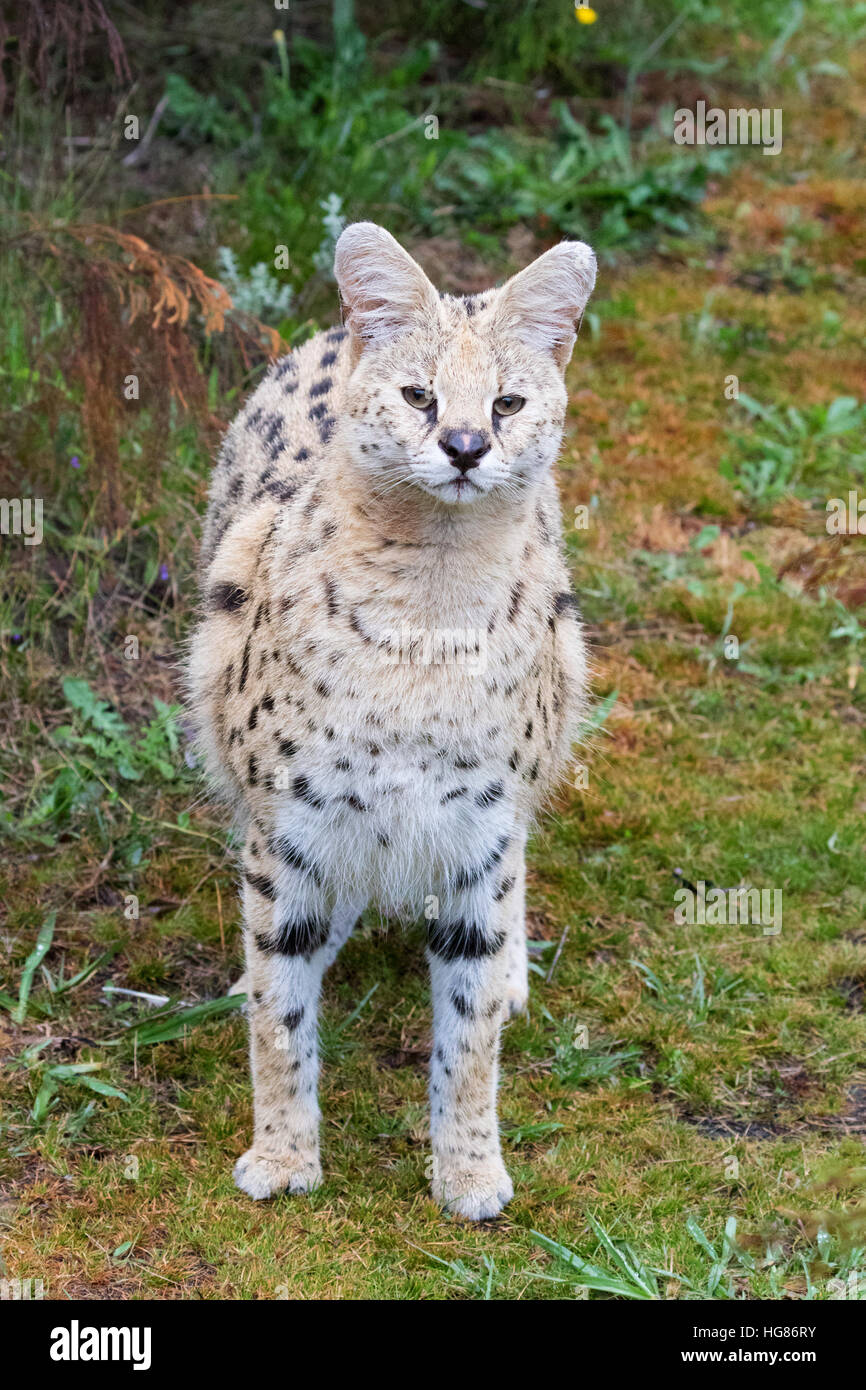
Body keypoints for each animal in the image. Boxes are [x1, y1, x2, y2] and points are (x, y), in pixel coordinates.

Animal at [187, 222, 594, 1223]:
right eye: (418, 394)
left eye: (508, 400)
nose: (464, 444)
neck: (427, 617)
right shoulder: (289, 829)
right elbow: (281, 1018)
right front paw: (283, 1157)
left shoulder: (479, 833)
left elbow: (471, 1037)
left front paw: (470, 1173)